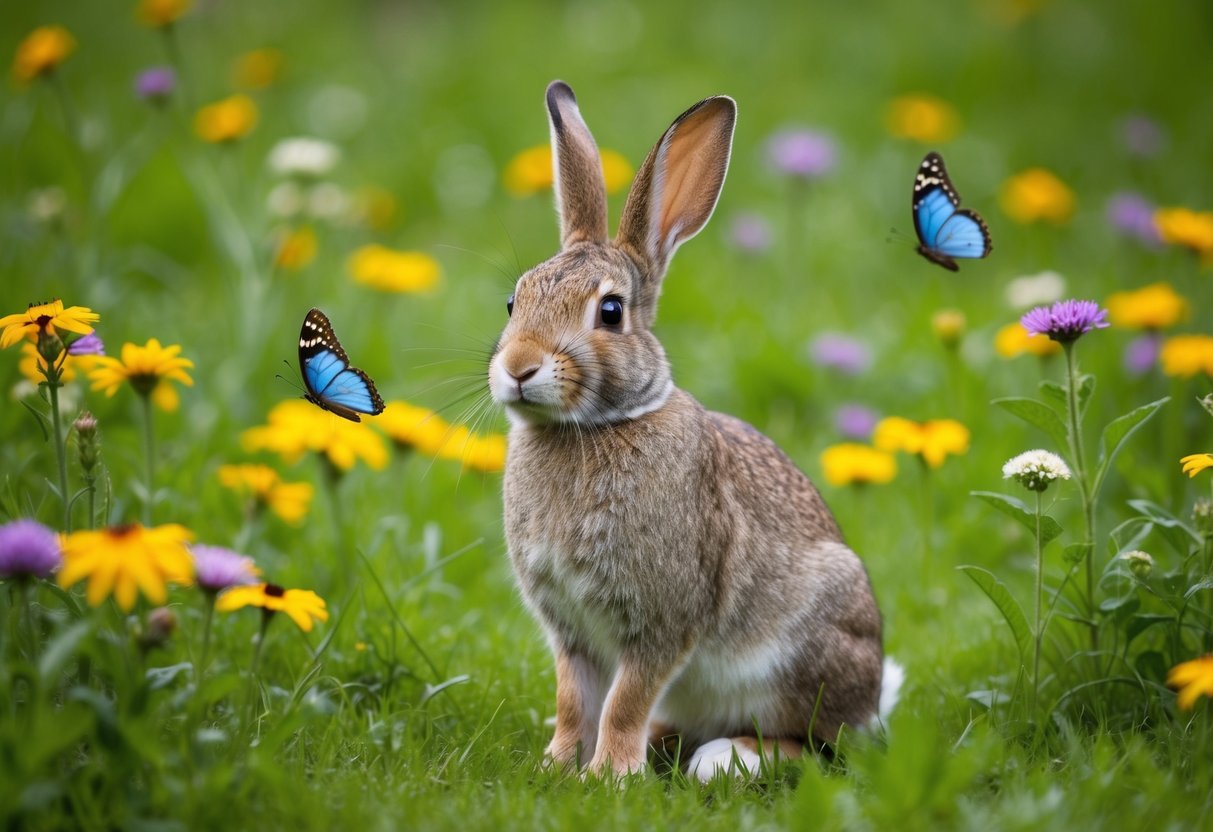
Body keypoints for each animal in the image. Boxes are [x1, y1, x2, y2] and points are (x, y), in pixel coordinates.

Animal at [488, 80, 886, 780]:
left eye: (610, 311)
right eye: (515, 301)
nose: (517, 367)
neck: (597, 425)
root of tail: (874, 695)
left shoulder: (661, 619)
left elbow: (625, 699)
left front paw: (607, 777)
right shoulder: (569, 630)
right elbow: (573, 699)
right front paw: (557, 767)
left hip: (799, 657)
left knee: (816, 744)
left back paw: (727, 758)